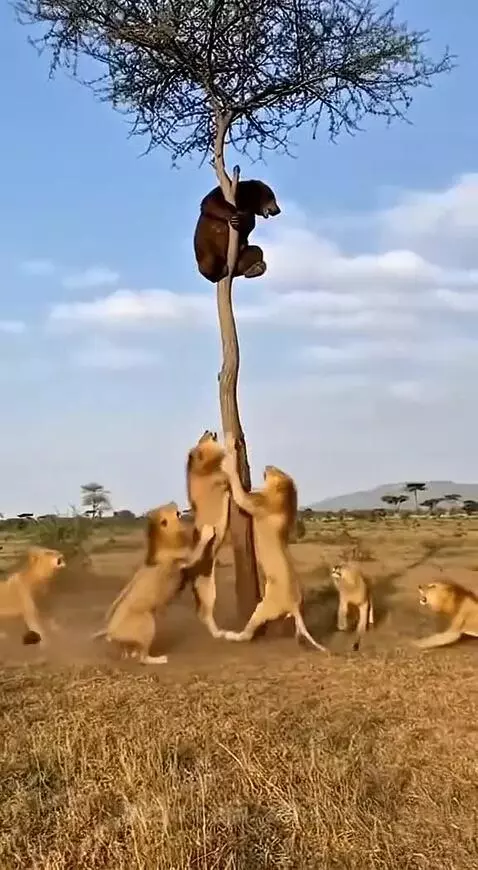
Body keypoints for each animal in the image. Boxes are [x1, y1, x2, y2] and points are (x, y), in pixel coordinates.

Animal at [92, 502, 217, 664]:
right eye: (172, 511)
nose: (174, 503)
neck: (166, 539)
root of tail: (110, 630)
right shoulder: (187, 558)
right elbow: (199, 547)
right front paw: (208, 530)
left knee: (132, 652)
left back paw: (132, 653)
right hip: (148, 623)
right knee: (143, 658)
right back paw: (160, 659)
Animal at [218, 433, 327, 651]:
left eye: (278, 472)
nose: (268, 466)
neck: (284, 502)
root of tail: (294, 605)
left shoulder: (253, 501)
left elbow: (237, 485)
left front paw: (230, 447)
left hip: (264, 607)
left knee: (248, 633)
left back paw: (231, 635)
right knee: (295, 625)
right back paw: (296, 635)